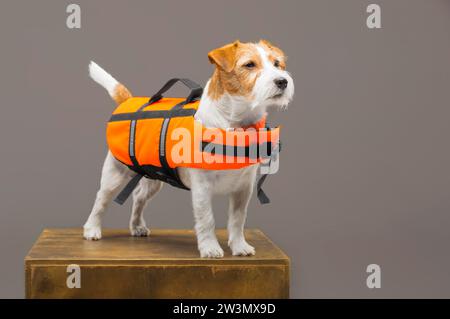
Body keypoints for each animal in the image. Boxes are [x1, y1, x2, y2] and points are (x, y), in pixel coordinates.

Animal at [83, 40, 296, 260]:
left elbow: (238, 220)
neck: (235, 124)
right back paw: (92, 229)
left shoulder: (243, 189)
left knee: (139, 197)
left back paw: (136, 226)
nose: (282, 81)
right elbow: (207, 219)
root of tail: (128, 100)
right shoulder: (202, 188)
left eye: (277, 63)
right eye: (249, 65)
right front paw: (210, 247)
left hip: (153, 178)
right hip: (115, 174)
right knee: (101, 199)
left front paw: (239, 246)